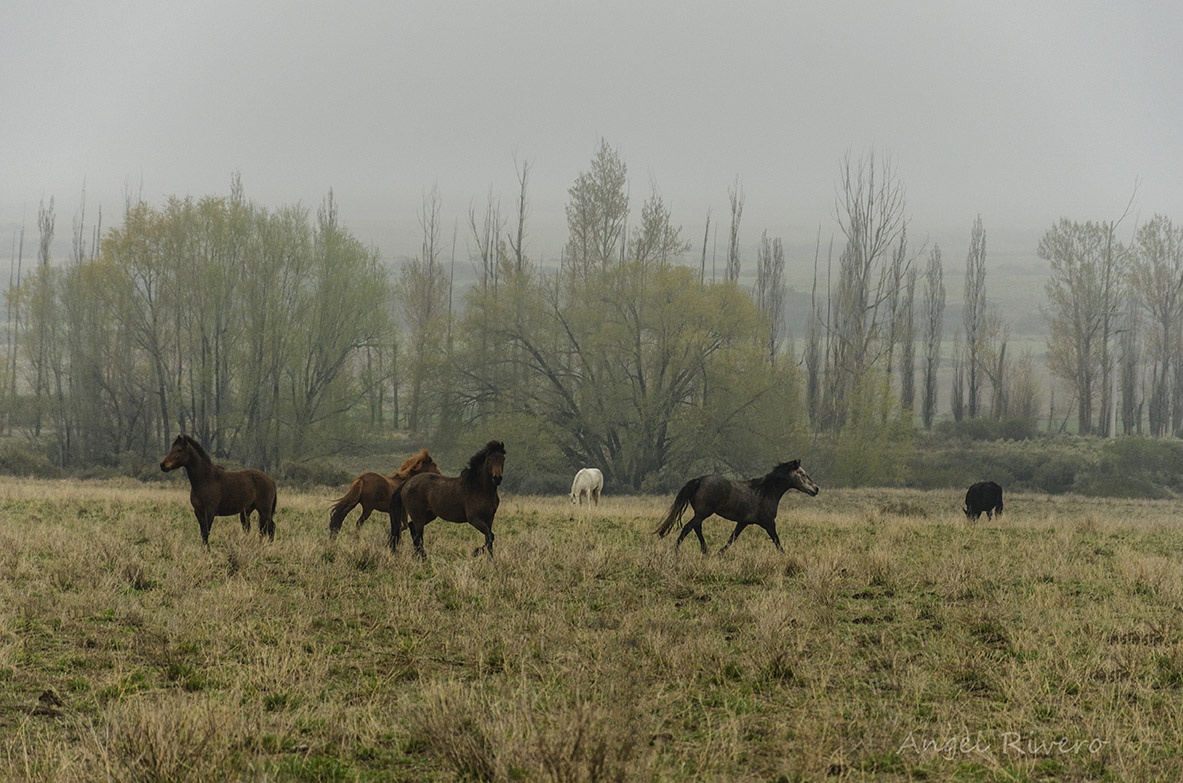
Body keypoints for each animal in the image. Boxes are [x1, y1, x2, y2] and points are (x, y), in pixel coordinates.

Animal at [653, 461, 818, 558]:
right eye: (802, 474)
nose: (816, 489)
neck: (765, 492)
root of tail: (699, 480)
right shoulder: (768, 523)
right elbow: (776, 540)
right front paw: (786, 556)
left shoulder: (743, 522)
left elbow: (732, 538)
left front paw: (720, 553)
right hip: (703, 513)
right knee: (688, 527)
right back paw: (676, 551)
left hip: (701, 513)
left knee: (696, 528)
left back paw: (706, 551)